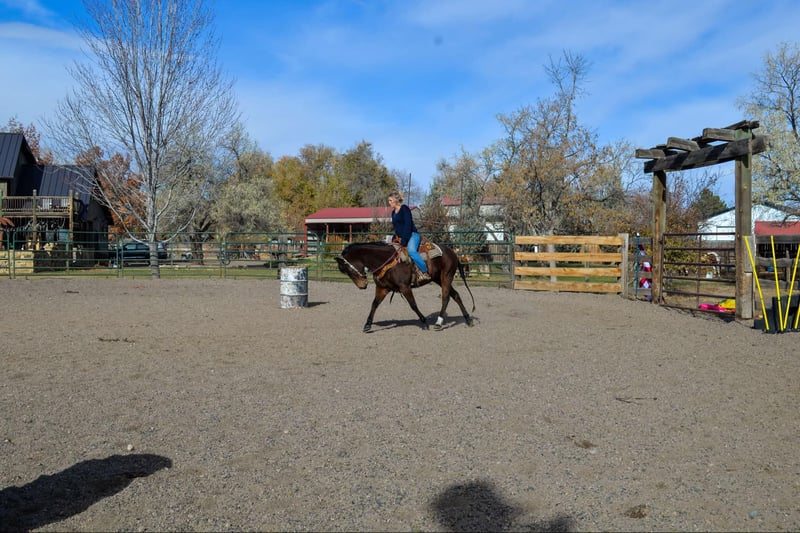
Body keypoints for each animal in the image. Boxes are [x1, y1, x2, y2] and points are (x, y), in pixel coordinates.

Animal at [335, 241, 475, 332]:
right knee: (455, 295)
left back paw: (439, 323)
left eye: (347, 269)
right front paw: (368, 325)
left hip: (446, 276)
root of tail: (452, 253)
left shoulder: (405, 287)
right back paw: (468, 320)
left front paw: (424, 322)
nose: (362, 285)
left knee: (445, 297)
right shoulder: (382, 288)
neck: (385, 260)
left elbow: (413, 305)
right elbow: (374, 304)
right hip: (438, 279)